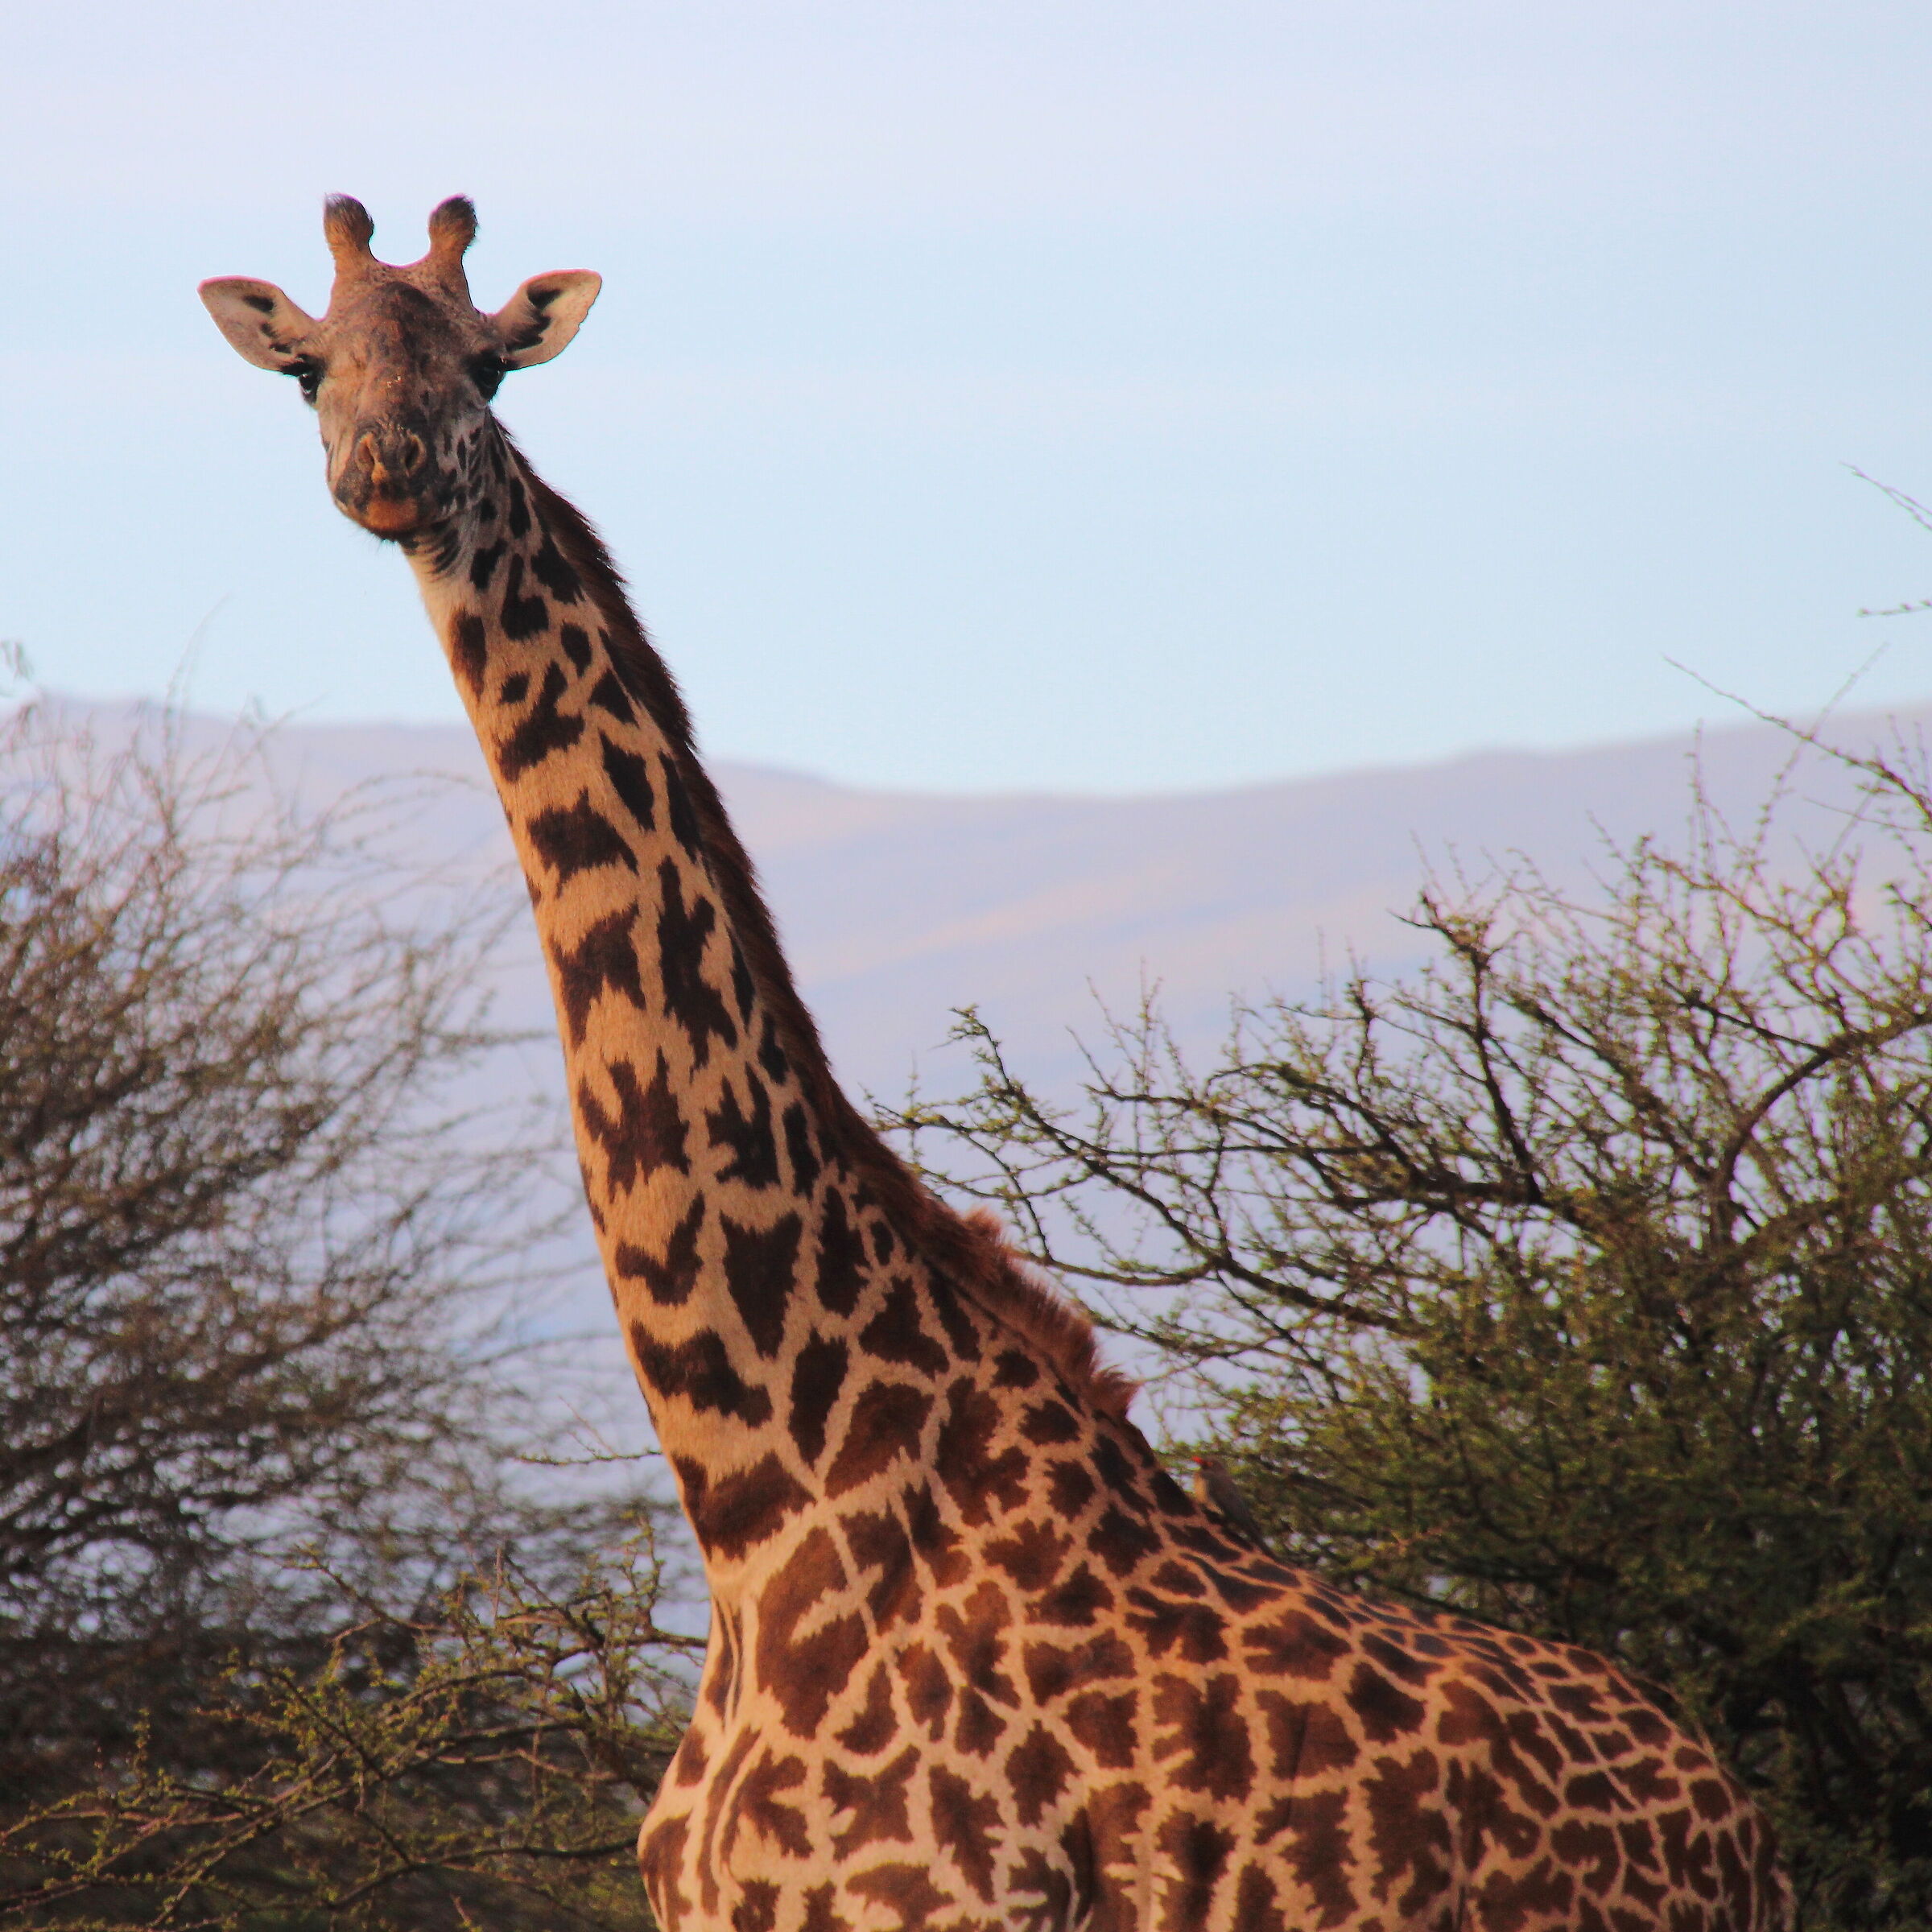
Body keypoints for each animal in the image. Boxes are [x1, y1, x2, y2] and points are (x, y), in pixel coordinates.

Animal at [201, 198, 1791, 1932]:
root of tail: (1739, 1817)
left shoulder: (945, 1908)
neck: (766, 1498)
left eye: (489, 364)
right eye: (310, 369)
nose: (390, 469)